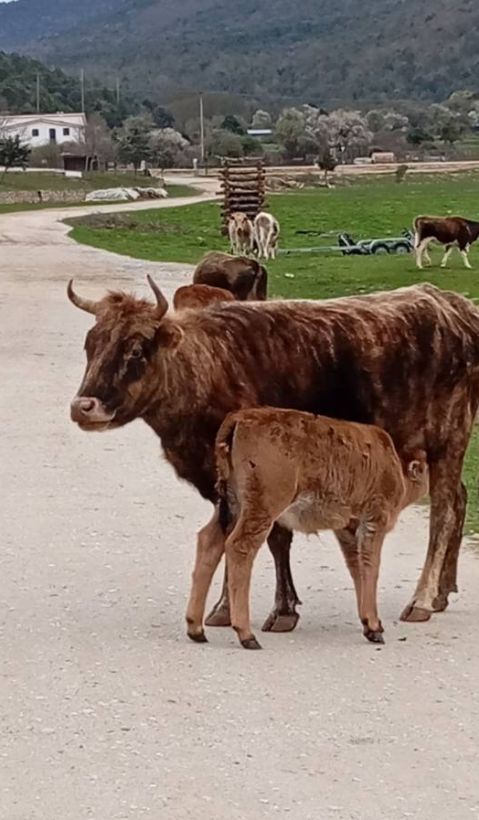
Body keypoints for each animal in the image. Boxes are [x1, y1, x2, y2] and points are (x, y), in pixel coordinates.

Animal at [185, 408, 429, 649]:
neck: (394, 463)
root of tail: (239, 418)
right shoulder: (374, 520)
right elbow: (370, 566)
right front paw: (375, 627)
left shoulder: (347, 528)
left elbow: (356, 567)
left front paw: (368, 624)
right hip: (261, 508)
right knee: (240, 547)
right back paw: (247, 635)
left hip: (231, 505)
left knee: (209, 541)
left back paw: (196, 629)